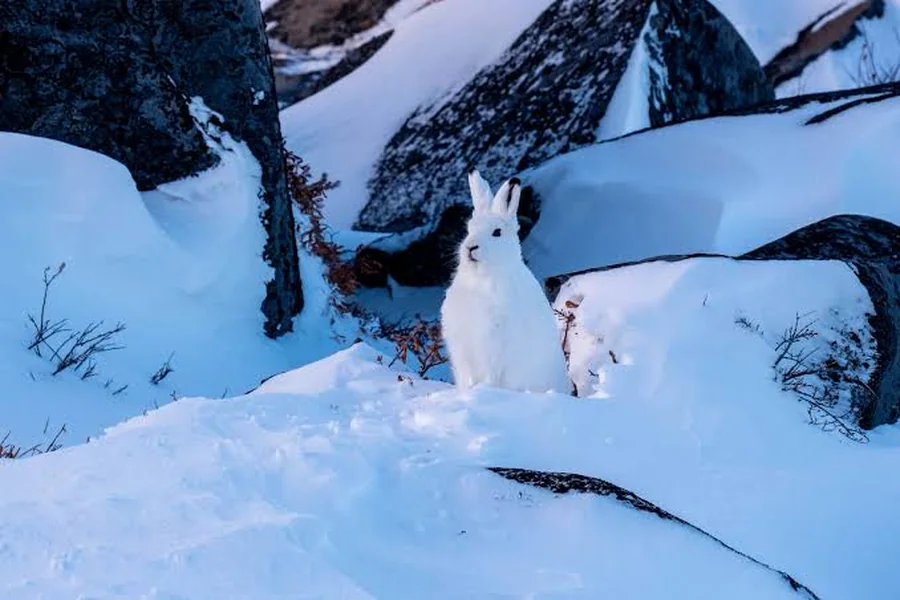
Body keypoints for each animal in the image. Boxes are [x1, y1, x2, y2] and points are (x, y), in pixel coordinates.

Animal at [440, 169, 571, 394]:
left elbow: (490, 375)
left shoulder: (493, 344)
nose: (470, 247)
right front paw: (466, 392)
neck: (482, 277)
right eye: (469, 229)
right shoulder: (462, 347)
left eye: (497, 233)